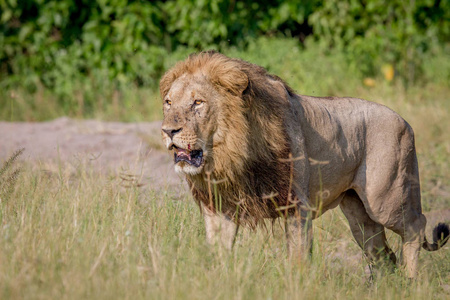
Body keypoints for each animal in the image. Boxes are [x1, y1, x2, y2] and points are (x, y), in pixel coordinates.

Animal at [160, 51, 448, 278]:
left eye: (198, 102)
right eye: (168, 103)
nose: (167, 131)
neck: (231, 156)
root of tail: (405, 121)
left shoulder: (296, 207)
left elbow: (297, 260)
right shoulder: (219, 208)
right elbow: (218, 256)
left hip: (384, 199)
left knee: (416, 225)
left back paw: (409, 281)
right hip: (359, 214)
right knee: (382, 254)